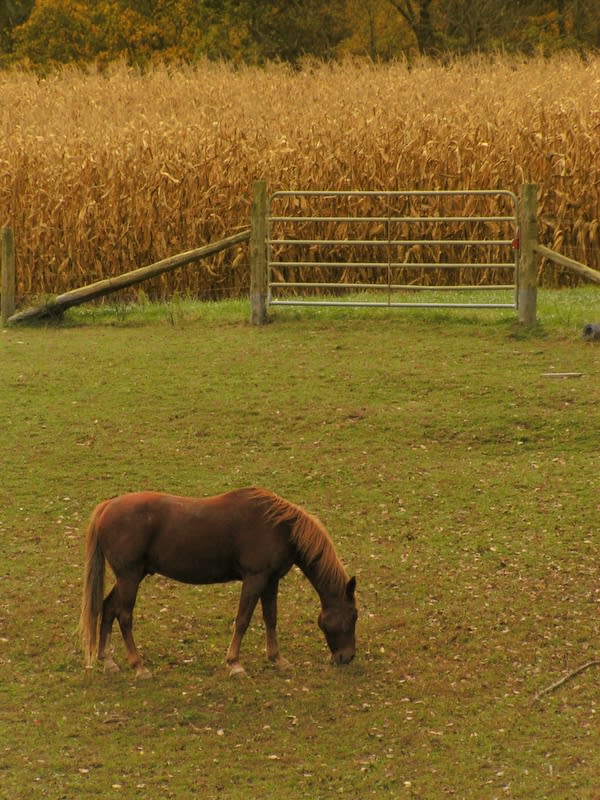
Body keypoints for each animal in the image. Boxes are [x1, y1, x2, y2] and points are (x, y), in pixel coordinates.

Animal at [80, 486, 357, 678]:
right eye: (353, 617)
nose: (347, 657)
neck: (279, 527)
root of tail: (108, 506)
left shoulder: (270, 581)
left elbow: (270, 618)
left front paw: (277, 659)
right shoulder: (255, 578)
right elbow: (243, 619)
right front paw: (235, 664)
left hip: (129, 577)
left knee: (108, 608)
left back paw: (108, 661)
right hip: (130, 577)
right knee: (124, 617)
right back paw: (138, 666)